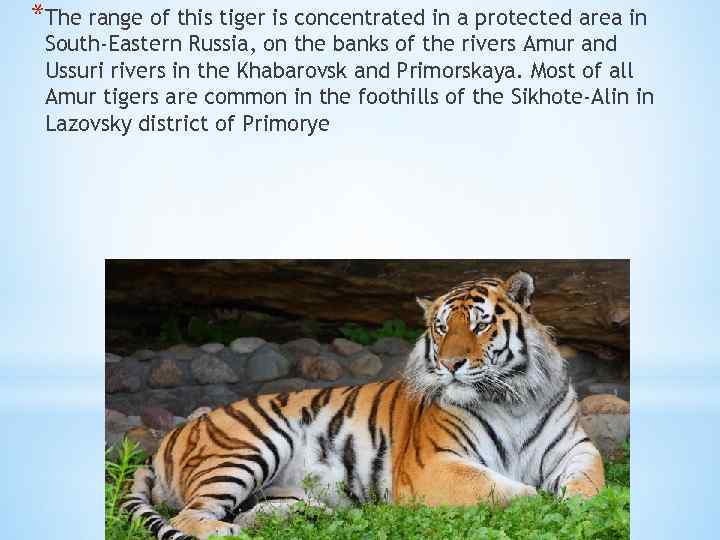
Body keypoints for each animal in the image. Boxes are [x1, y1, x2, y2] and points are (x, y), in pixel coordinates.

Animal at [122, 271, 604, 539]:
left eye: (480, 324)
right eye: (442, 328)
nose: (451, 364)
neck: (511, 397)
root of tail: (165, 440)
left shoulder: (576, 449)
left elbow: (590, 485)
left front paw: (579, 505)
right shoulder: (434, 464)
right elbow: (509, 491)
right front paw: (543, 503)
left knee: (255, 510)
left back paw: (301, 519)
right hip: (250, 446)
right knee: (189, 517)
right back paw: (231, 533)